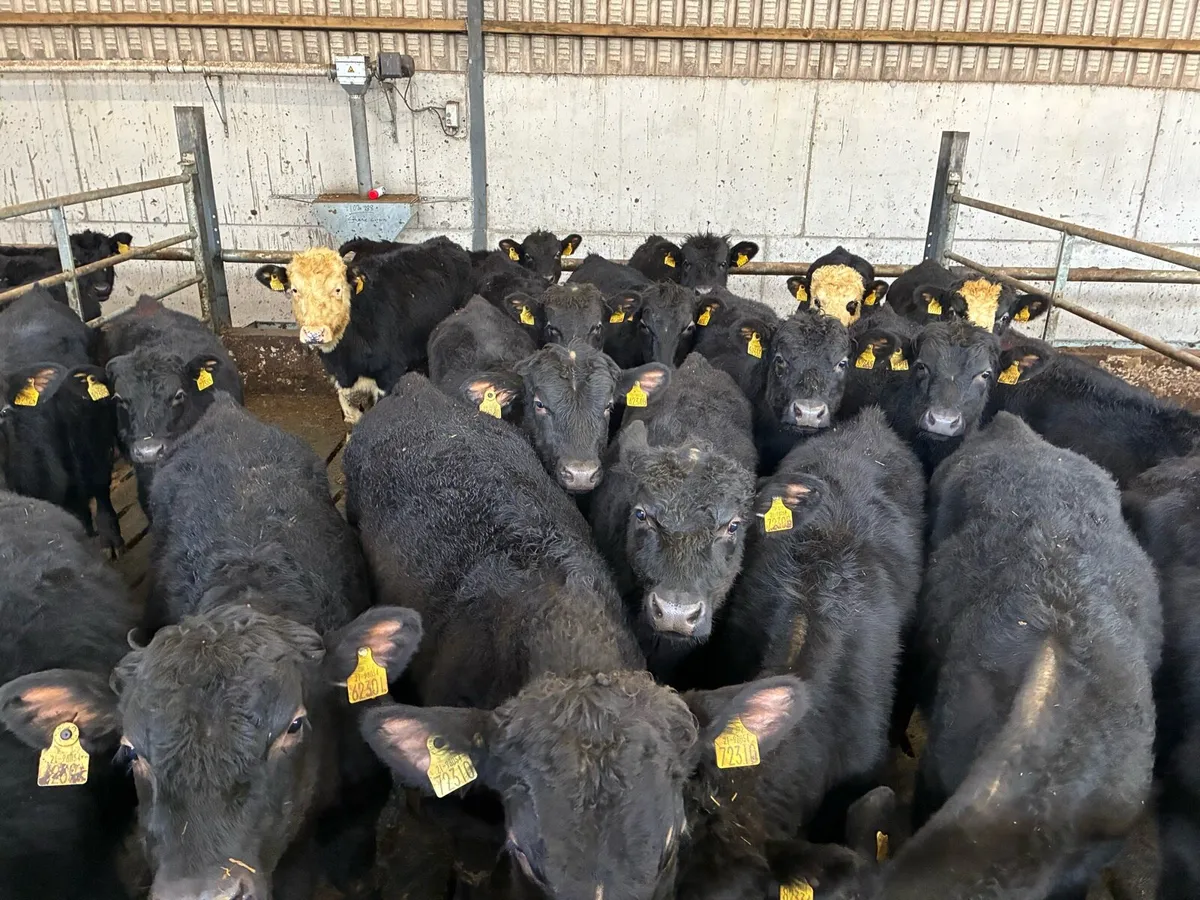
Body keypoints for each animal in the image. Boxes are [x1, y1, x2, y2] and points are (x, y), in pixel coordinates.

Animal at [255, 236, 473, 424]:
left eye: (338, 289)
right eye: (294, 290)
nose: (314, 333)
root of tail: (443, 241)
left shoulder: (389, 377)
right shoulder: (342, 386)